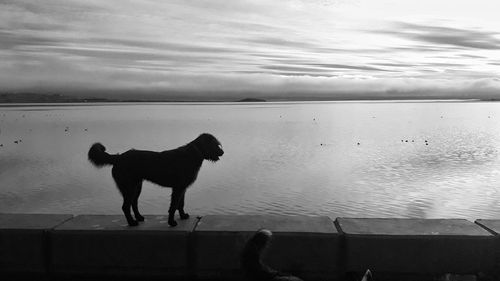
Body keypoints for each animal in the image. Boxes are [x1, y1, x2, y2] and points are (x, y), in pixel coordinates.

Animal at [87, 132, 224, 226]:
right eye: (215, 144)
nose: (222, 152)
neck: (194, 153)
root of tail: (118, 158)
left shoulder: (182, 187)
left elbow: (181, 204)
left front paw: (183, 216)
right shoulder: (178, 188)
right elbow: (174, 205)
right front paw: (171, 222)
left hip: (137, 186)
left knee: (133, 203)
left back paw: (139, 217)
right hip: (129, 187)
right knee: (125, 206)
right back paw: (132, 222)